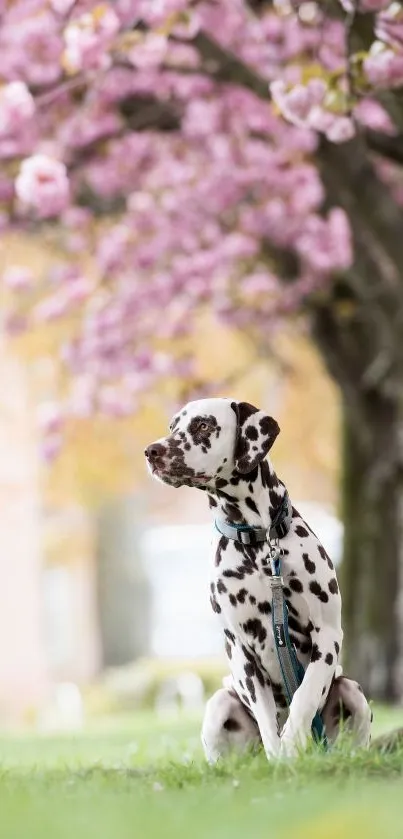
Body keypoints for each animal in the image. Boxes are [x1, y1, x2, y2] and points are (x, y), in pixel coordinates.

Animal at [145, 400, 372, 760]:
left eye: (203, 426)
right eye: (172, 427)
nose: (152, 451)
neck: (259, 541)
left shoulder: (327, 635)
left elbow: (305, 695)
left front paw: (292, 741)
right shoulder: (241, 651)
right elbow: (267, 721)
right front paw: (280, 757)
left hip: (352, 692)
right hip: (219, 704)